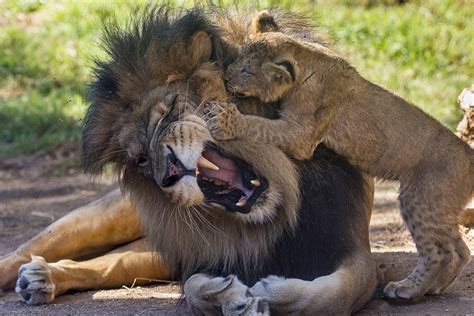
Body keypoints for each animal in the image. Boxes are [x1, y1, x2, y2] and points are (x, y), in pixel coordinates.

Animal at [0, 6, 378, 314]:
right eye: (140, 159)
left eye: (169, 109)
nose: (166, 171)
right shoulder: (201, 254)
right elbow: (195, 287)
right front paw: (226, 295)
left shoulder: (352, 243)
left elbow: (335, 294)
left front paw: (272, 292)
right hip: (104, 217)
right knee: (27, 250)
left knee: (113, 263)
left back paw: (42, 278)